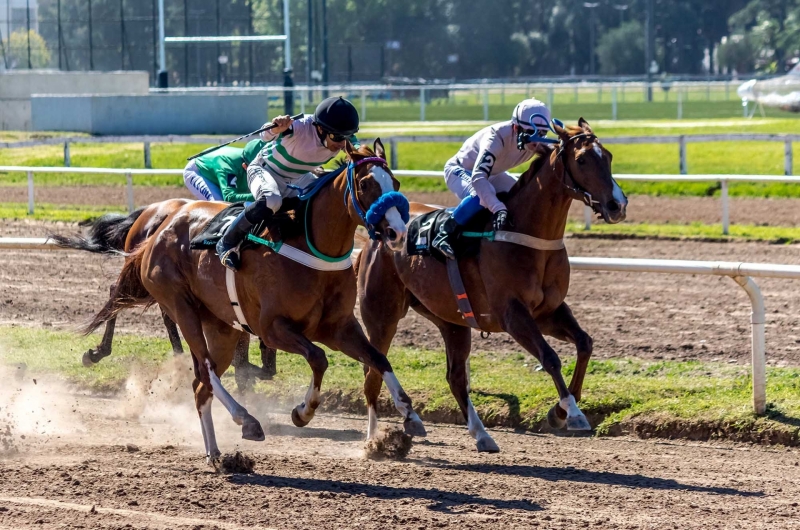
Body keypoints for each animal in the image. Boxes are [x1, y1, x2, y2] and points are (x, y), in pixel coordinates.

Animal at [56, 138, 424, 460]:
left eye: (395, 181)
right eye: (365, 184)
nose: (397, 232)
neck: (311, 246)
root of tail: (159, 229)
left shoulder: (338, 328)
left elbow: (378, 358)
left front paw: (410, 415)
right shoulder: (273, 327)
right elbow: (318, 359)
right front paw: (302, 411)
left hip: (220, 325)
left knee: (200, 380)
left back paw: (217, 450)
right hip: (181, 305)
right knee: (200, 366)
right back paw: (244, 419)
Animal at [356, 118, 624, 450]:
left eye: (608, 156)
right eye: (583, 159)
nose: (617, 205)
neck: (528, 234)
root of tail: (377, 233)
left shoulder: (547, 312)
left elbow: (585, 344)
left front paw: (560, 410)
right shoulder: (512, 314)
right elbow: (550, 357)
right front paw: (572, 413)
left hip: (450, 319)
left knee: (455, 377)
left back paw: (479, 433)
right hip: (382, 315)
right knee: (373, 370)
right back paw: (376, 438)